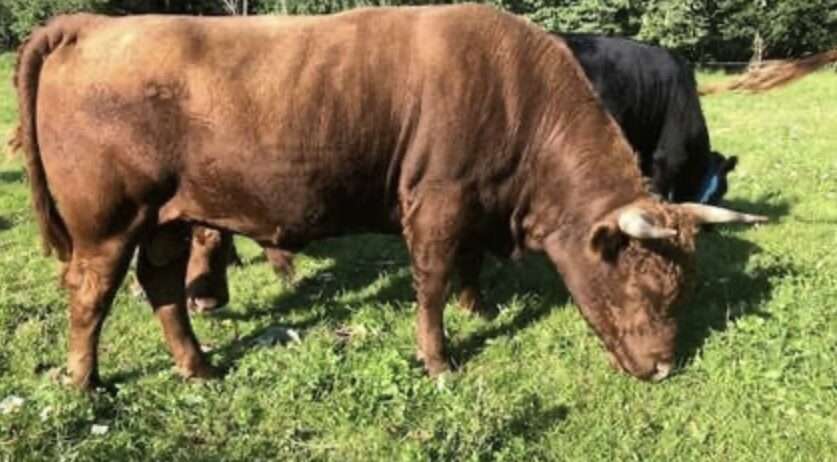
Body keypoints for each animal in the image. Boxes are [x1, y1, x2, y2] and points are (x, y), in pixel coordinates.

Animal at [13, 4, 765, 390]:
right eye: (645, 287)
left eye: (684, 289)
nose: (664, 367)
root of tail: (93, 23)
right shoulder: (436, 202)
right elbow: (430, 281)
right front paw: (439, 357)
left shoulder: (474, 202)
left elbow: (467, 266)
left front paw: (477, 305)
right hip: (108, 222)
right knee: (90, 295)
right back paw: (85, 383)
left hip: (169, 215)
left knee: (164, 287)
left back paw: (198, 366)